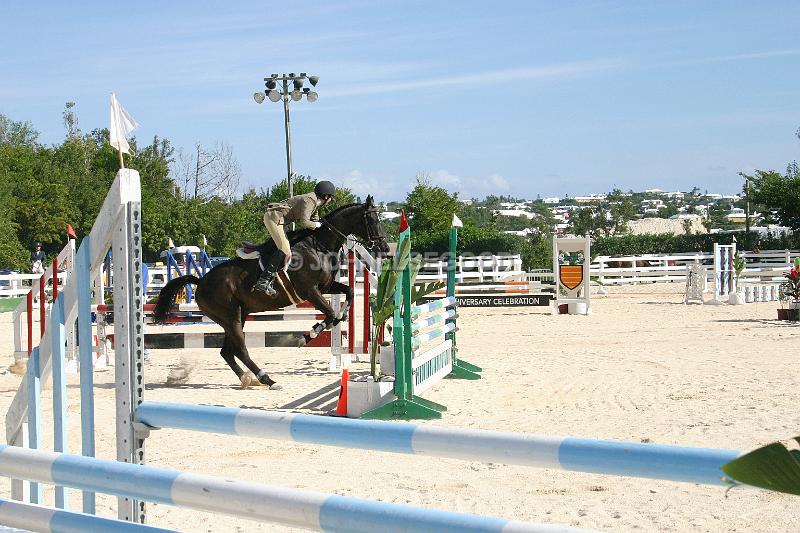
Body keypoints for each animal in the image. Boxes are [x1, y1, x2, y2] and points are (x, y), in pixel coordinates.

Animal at [152, 197, 390, 388]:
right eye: (372, 220)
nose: (385, 249)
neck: (319, 246)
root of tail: (201, 281)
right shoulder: (310, 291)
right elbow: (330, 313)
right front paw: (309, 334)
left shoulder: (325, 287)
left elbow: (348, 294)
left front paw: (332, 321)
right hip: (230, 318)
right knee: (240, 350)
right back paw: (267, 379)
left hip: (238, 315)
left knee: (227, 351)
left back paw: (248, 379)